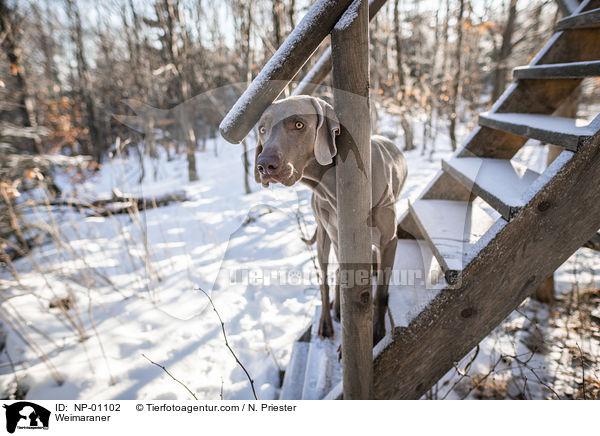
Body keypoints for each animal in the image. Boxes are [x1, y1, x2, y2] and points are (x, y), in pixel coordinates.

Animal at [254, 95, 408, 344]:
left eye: (298, 124)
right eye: (262, 129)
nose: (264, 165)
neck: (332, 185)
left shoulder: (389, 241)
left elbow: (381, 293)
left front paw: (376, 332)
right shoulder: (339, 237)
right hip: (325, 237)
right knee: (326, 278)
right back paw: (327, 319)